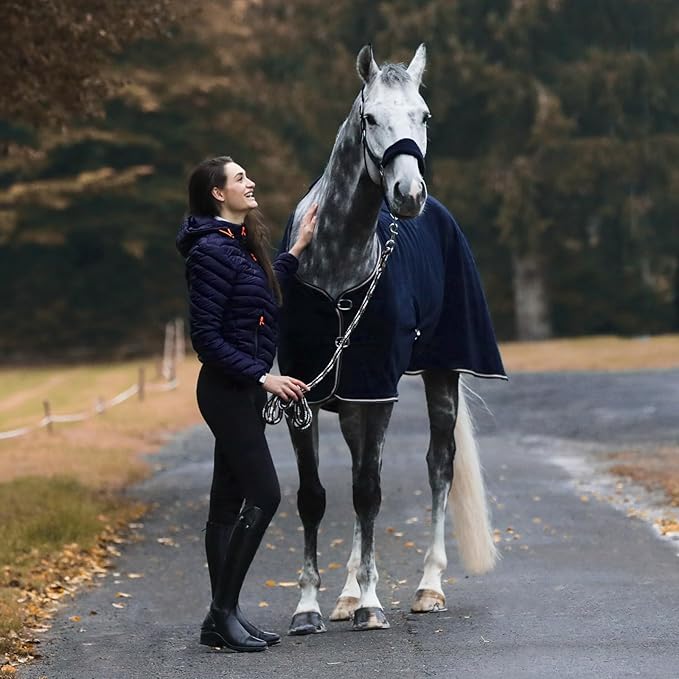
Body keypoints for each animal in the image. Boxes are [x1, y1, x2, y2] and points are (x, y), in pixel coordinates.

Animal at [277, 44, 507, 635]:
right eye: (370, 118)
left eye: (423, 116)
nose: (408, 194)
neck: (336, 267)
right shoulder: (306, 396)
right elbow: (315, 497)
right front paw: (309, 607)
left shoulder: (378, 391)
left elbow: (369, 493)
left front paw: (373, 604)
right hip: (353, 400)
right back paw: (345, 596)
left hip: (440, 374)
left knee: (438, 466)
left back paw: (427, 587)